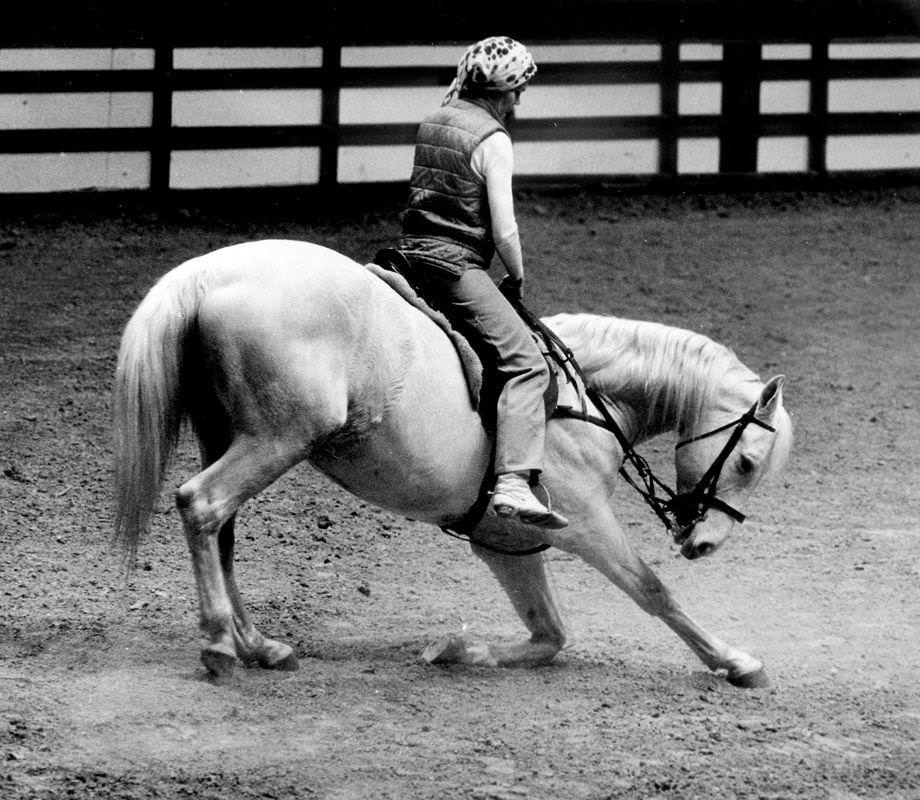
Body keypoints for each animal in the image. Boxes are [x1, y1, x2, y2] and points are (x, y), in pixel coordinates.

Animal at [113, 238, 792, 688]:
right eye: (748, 463)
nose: (704, 543)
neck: (582, 401)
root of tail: (208, 272)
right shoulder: (584, 522)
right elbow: (653, 591)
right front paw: (736, 662)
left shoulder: (503, 541)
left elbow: (551, 635)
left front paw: (458, 650)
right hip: (276, 439)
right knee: (201, 504)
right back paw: (221, 646)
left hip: (233, 435)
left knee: (221, 530)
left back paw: (259, 645)